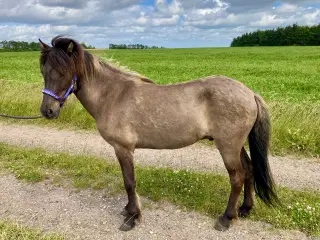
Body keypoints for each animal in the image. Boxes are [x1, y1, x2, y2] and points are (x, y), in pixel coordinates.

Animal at [37, 36, 278, 232]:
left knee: (237, 177)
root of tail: (249, 92)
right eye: (43, 72)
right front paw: (128, 210)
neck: (112, 95)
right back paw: (245, 209)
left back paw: (227, 218)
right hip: (237, 145)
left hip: (227, 146)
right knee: (249, 170)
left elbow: (129, 182)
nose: (47, 111)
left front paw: (132, 217)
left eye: (63, 72)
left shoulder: (123, 149)